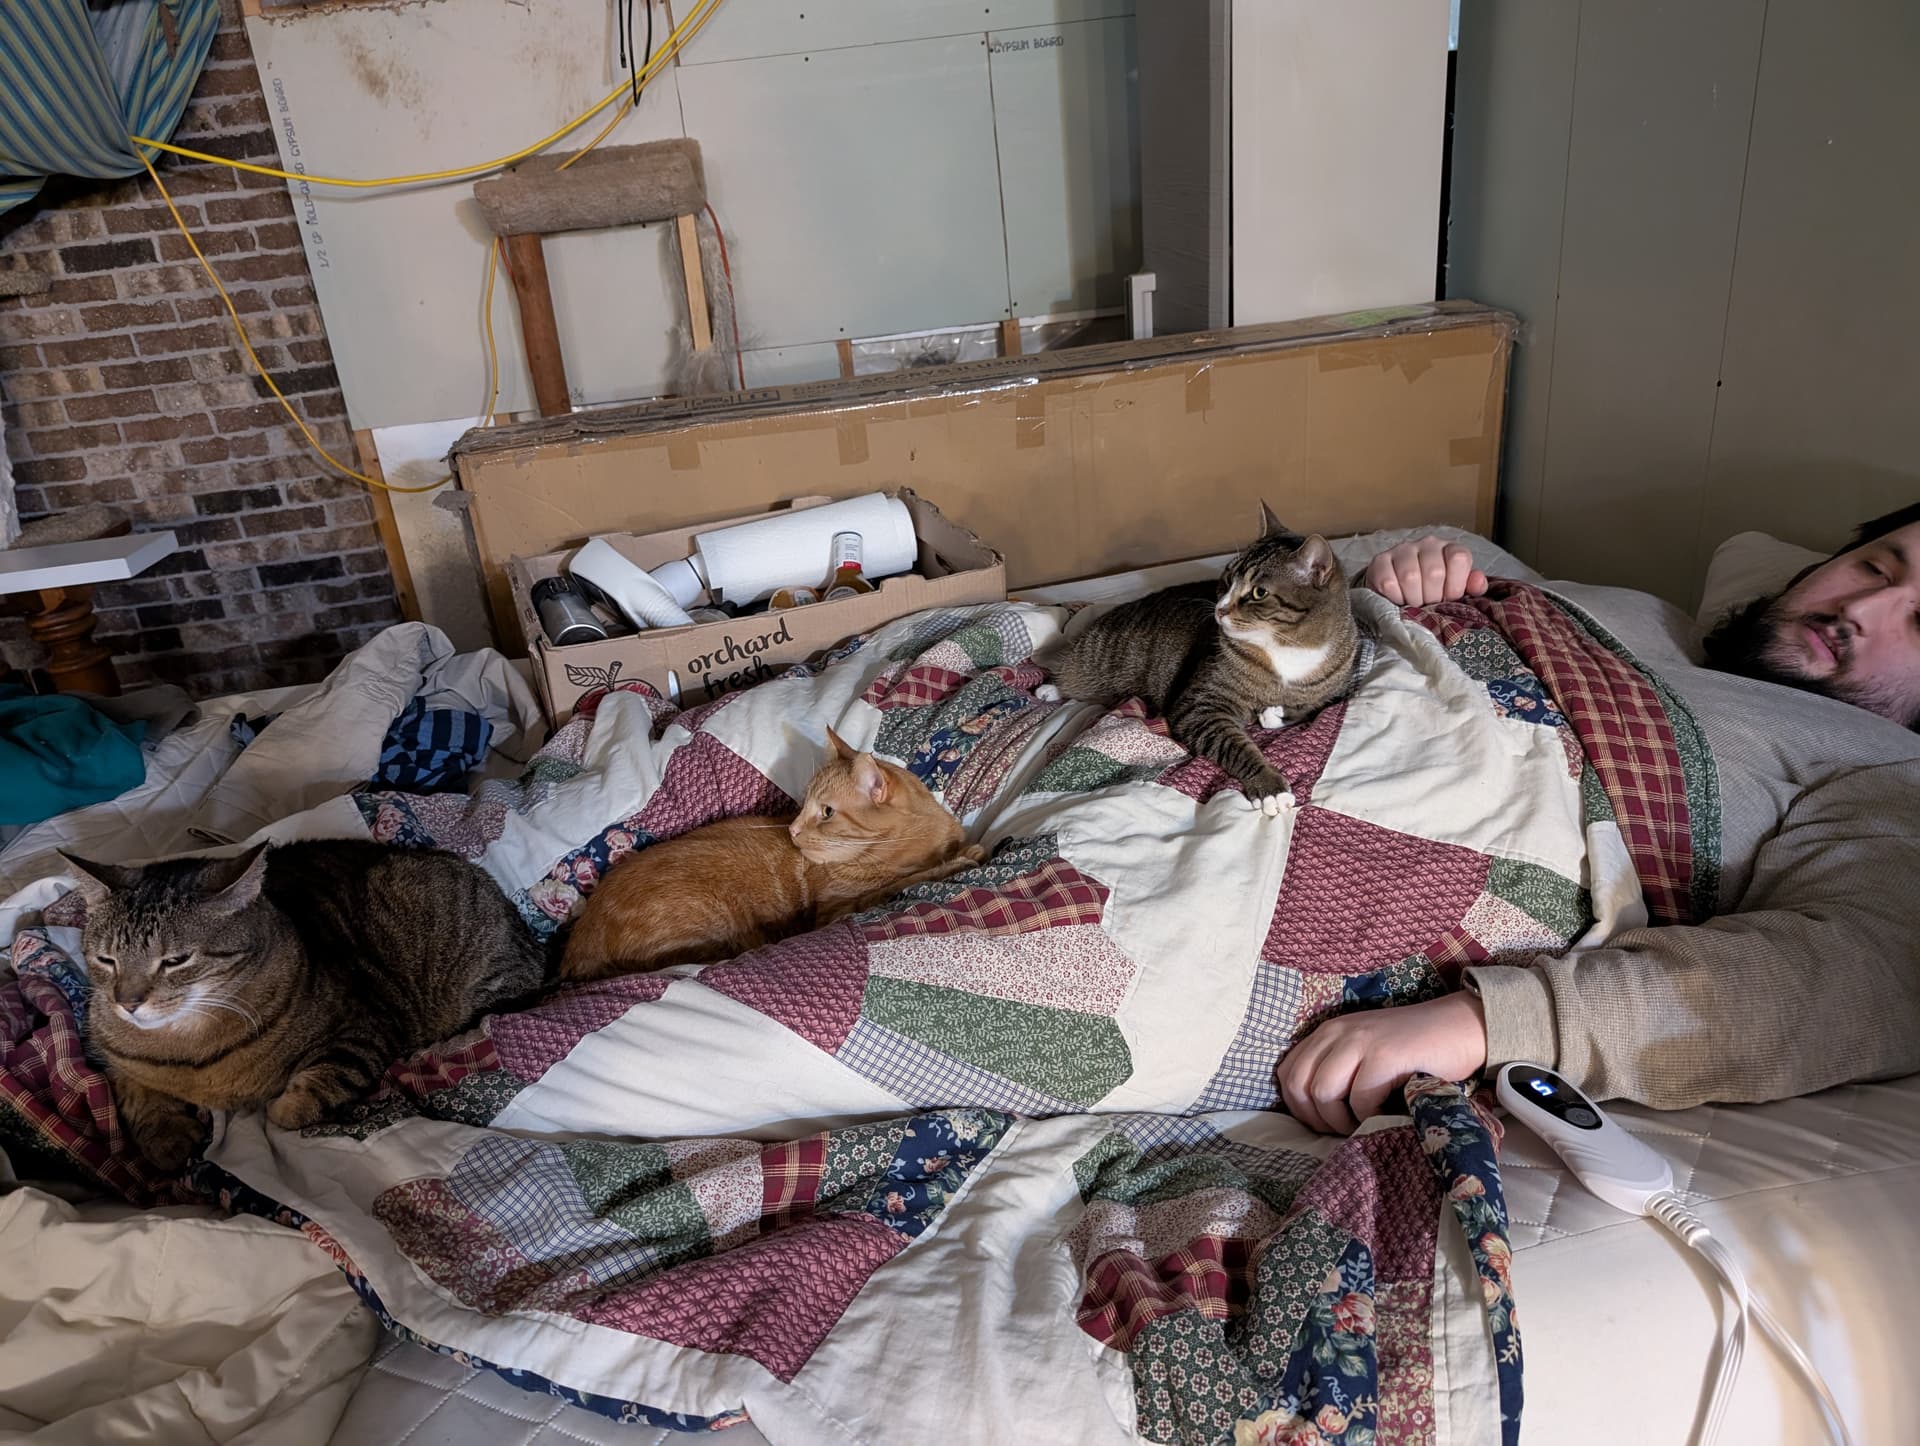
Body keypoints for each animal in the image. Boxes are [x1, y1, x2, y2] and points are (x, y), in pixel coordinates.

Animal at [62, 838, 548, 1172]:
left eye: (176, 960)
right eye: (106, 959)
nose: (127, 1002)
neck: (190, 1053)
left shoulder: (365, 1027)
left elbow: (320, 1082)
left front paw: (281, 1108)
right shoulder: (111, 1059)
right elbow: (133, 1092)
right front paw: (166, 1138)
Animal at [560, 729, 984, 981]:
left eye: (826, 812)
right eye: (801, 804)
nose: (793, 830)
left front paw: (959, 851)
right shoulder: (836, 909)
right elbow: (901, 882)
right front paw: (961, 858)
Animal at [1038, 503, 1361, 814]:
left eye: (1259, 592)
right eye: (1228, 578)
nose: (1219, 609)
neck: (1289, 646)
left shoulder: (1337, 688)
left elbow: (1311, 706)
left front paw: (1276, 713)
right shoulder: (1200, 705)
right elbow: (1238, 747)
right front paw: (1270, 786)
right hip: (1091, 659)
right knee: (1070, 677)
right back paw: (1049, 688)